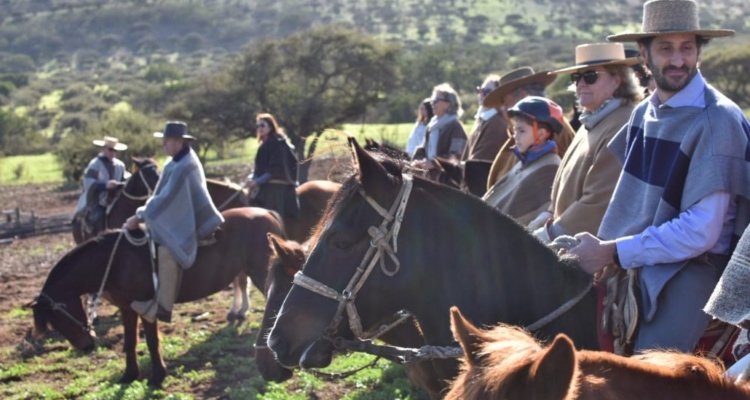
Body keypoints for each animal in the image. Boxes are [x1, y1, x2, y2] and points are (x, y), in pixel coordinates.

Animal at [29, 208, 284, 386]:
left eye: (57, 316)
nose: (86, 346)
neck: (116, 261)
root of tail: (266, 213)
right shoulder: (127, 308)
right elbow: (130, 341)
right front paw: (129, 375)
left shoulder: (147, 306)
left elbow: (152, 341)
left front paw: (157, 376)